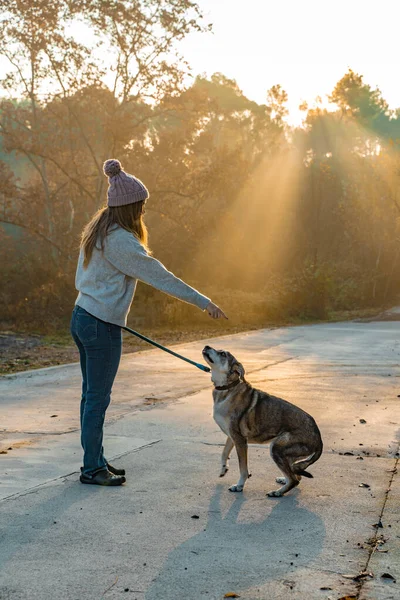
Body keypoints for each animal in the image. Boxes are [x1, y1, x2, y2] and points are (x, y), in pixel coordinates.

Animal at [202, 346, 324, 496]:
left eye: (223, 354)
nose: (206, 346)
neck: (228, 388)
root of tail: (319, 439)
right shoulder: (232, 436)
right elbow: (224, 453)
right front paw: (224, 468)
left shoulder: (240, 441)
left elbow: (243, 468)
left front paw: (239, 485)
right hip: (288, 455)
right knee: (297, 475)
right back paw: (283, 480)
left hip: (277, 448)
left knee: (294, 479)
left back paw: (278, 492)